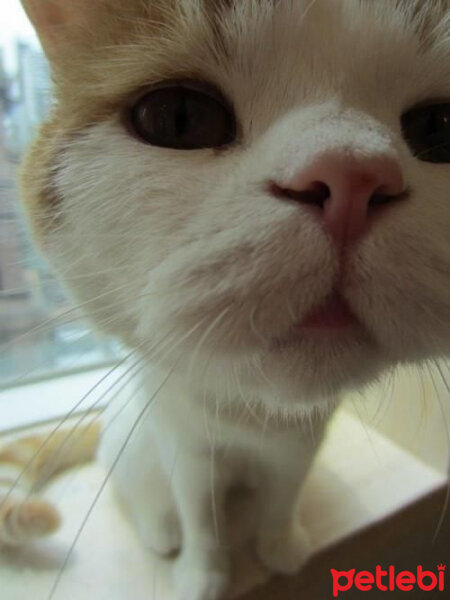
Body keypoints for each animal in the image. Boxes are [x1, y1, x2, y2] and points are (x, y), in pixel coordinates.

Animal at [0, 3, 450, 600]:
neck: (253, 416)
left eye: (440, 129)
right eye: (178, 117)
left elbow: (281, 502)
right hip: (134, 445)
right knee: (138, 492)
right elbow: (200, 520)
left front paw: (281, 547)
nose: (353, 175)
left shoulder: (299, 449)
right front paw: (201, 575)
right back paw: (160, 531)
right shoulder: (187, 452)